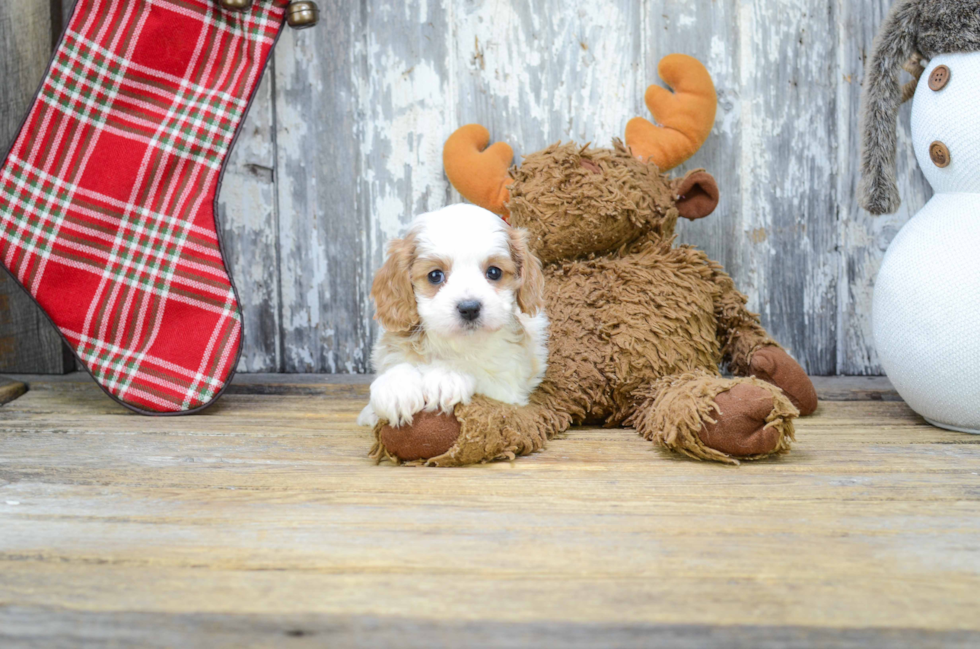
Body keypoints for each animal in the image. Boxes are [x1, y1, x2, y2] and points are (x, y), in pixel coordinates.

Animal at [356, 205, 548, 428]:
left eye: (494, 272)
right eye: (435, 275)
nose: (469, 308)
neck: (456, 343)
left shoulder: (508, 387)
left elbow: (480, 376)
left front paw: (446, 376)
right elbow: (396, 365)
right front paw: (396, 387)